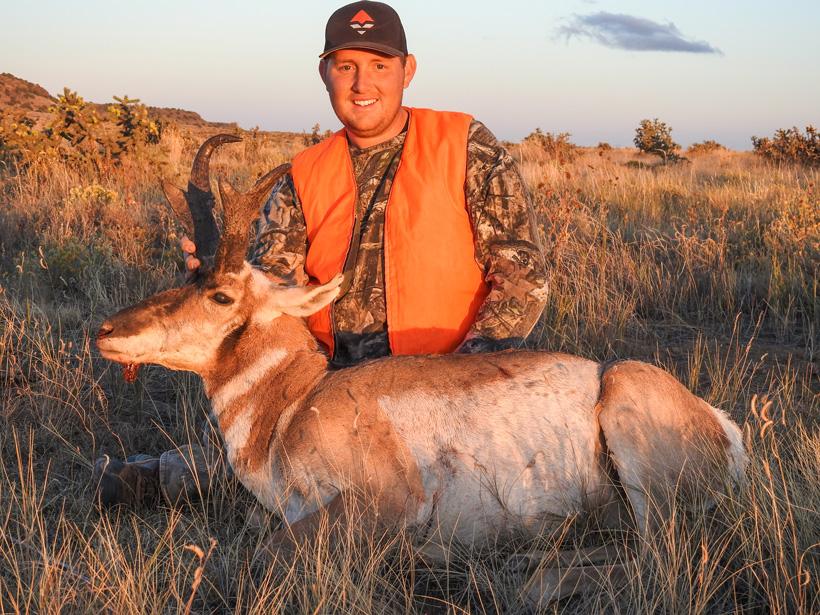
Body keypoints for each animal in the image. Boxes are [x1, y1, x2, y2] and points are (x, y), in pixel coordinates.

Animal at [96, 134, 747, 605]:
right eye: (186, 275)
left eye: (221, 295)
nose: (106, 332)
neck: (296, 403)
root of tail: (724, 427)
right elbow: (258, 532)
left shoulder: (384, 504)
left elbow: (267, 550)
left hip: (631, 422)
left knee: (650, 560)